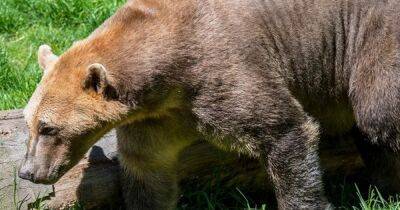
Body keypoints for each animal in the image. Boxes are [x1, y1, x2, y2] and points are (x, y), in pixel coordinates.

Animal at [19, 0, 400, 209]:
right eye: (29, 123)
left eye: (48, 127)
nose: (28, 172)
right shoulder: (158, 118)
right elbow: (147, 170)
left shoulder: (222, 72)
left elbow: (283, 128)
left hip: (373, 37)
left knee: (377, 112)